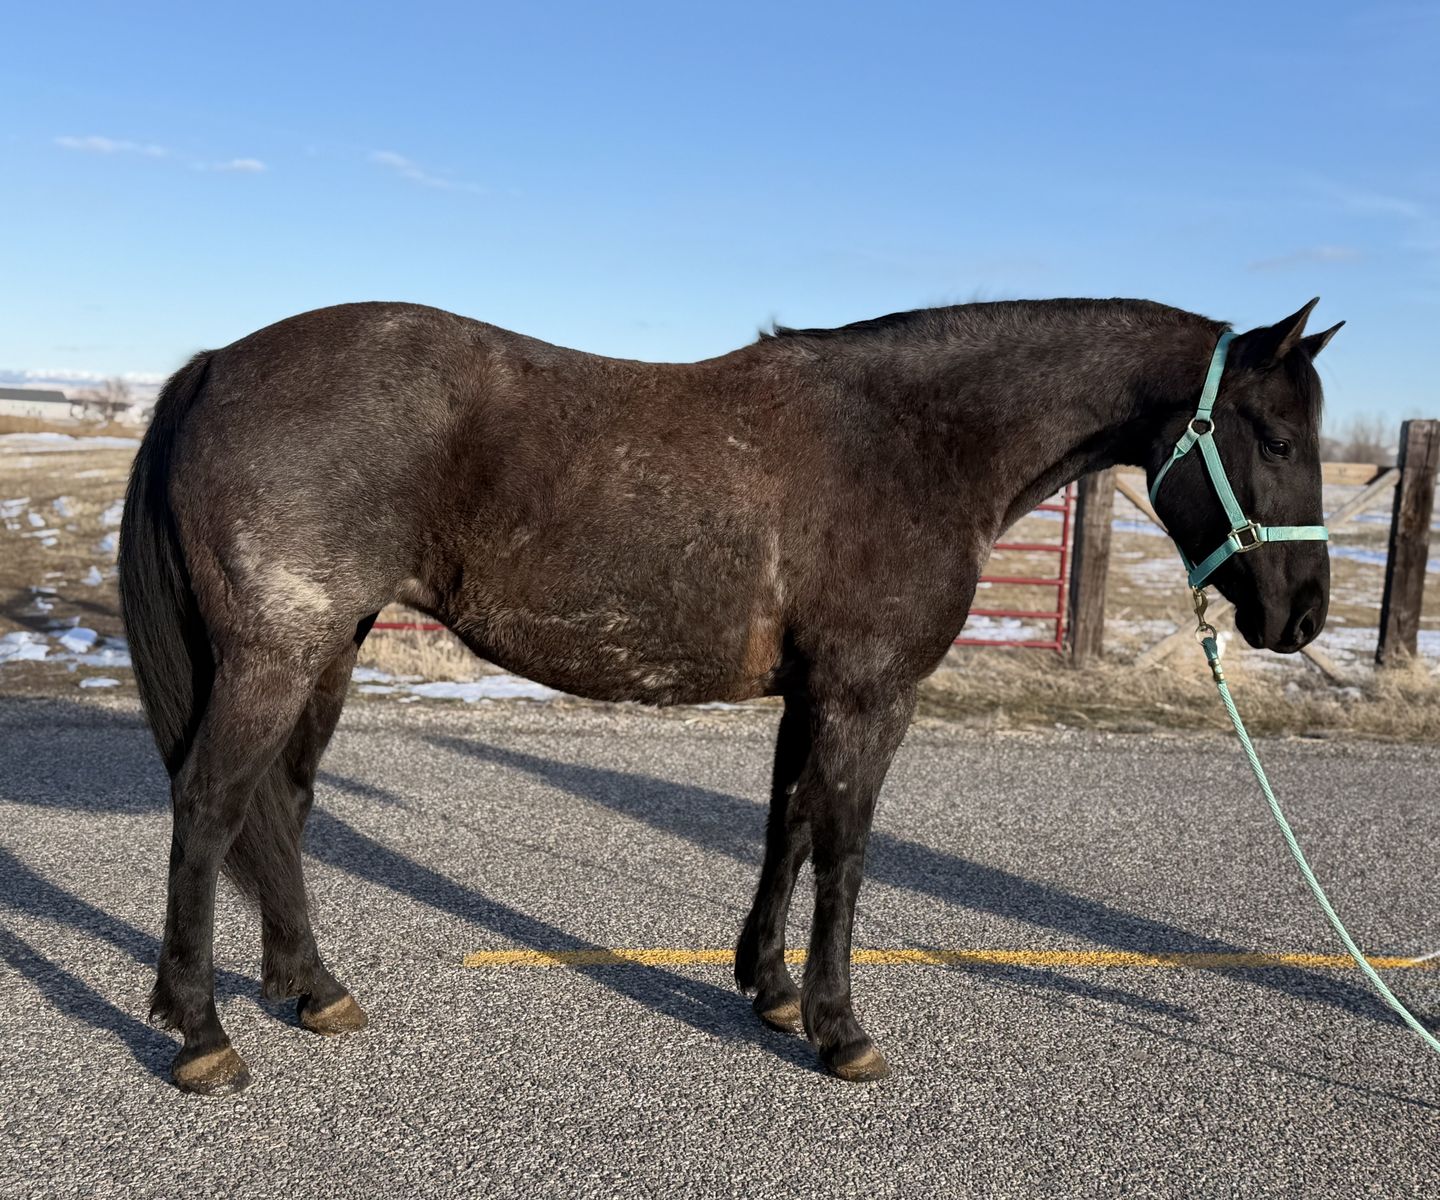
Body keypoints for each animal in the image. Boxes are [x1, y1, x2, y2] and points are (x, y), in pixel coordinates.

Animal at [117, 296, 1338, 1094]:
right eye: (1277, 436)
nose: (1306, 617)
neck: (912, 438)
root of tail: (218, 363)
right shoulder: (868, 694)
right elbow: (845, 848)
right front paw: (841, 1029)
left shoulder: (813, 694)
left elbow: (786, 829)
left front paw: (771, 989)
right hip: (277, 656)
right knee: (210, 806)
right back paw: (201, 1033)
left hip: (327, 651)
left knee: (279, 811)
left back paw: (310, 988)